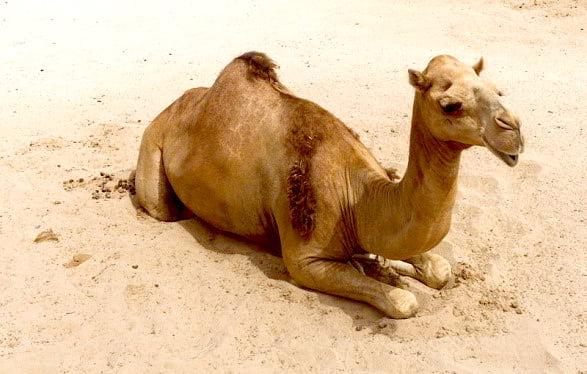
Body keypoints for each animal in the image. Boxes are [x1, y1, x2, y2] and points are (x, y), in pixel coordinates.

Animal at [137, 51, 524, 318]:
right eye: (451, 105)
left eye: (497, 90)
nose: (515, 131)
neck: (358, 198)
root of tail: (174, 105)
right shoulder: (305, 260)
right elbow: (403, 301)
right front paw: (383, 274)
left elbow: (439, 269)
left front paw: (383, 266)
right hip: (153, 156)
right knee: (163, 207)